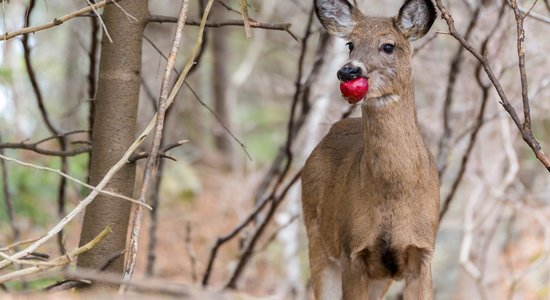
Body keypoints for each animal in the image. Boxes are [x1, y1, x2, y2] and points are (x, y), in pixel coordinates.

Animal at [300, 0, 442, 300]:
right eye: (350, 44)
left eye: (388, 45)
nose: (348, 71)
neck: (393, 194)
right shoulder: (352, 250)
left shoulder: (422, 251)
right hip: (317, 237)